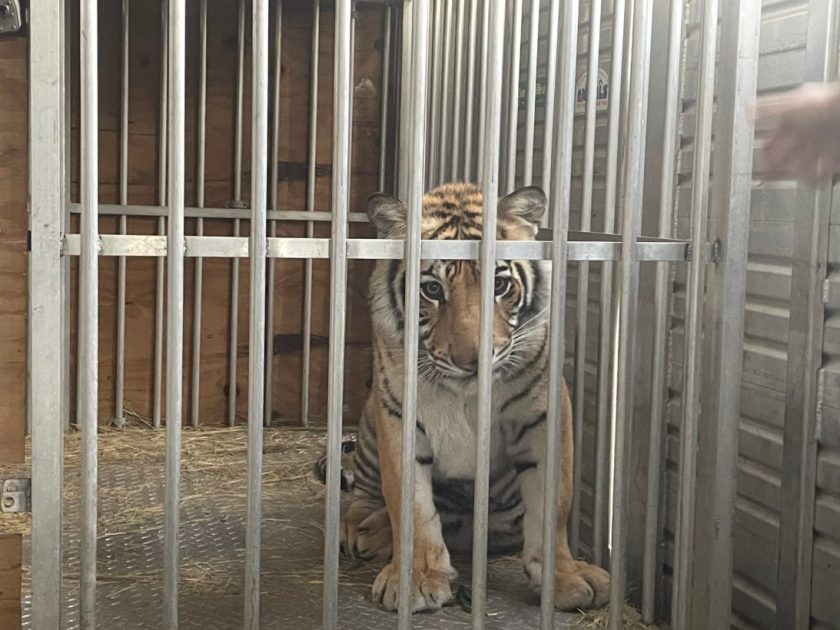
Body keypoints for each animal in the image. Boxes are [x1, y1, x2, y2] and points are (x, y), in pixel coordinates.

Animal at [316, 182, 610, 613]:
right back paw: (365, 528)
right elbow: (409, 503)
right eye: (432, 289)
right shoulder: (399, 415)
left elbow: (554, 504)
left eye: (499, 285)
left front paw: (565, 579)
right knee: (367, 494)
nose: (473, 361)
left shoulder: (544, 414)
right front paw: (416, 580)